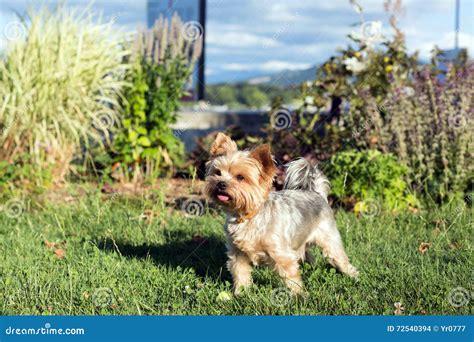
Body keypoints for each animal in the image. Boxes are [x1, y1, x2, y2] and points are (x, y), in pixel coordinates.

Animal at [206, 133, 358, 294]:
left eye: (240, 177)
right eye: (217, 172)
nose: (220, 183)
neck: (248, 217)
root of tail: (317, 193)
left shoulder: (282, 254)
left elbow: (291, 277)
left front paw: (299, 295)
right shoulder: (237, 254)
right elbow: (240, 273)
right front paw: (240, 293)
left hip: (329, 239)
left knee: (339, 258)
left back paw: (354, 276)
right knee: (307, 254)